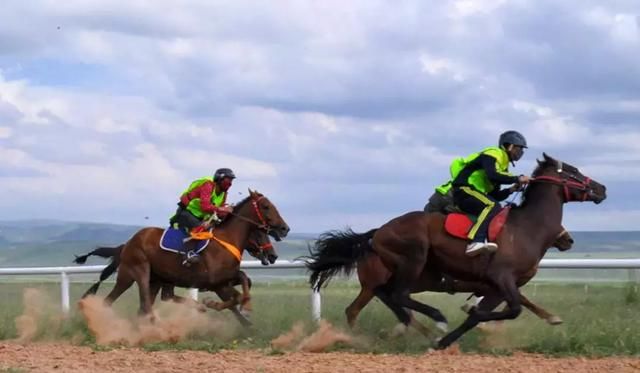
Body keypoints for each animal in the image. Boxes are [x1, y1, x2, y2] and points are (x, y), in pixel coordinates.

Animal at [84, 189, 288, 316]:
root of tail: (127, 243)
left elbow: (244, 282)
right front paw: (236, 306)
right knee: (121, 301)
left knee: (148, 303)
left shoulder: (225, 278)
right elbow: (241, 287)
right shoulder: (216, 280)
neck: (227, 239)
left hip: (156, 279)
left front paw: (218, 304)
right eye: (266, 206)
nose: (285, 228)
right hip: (134, 271)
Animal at [304, 153, 604, 348]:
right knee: (390, 298)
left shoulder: (499, 287)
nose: (602, 188)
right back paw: (428, 322)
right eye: (573, 172)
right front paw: (456, 323)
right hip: (412, 257)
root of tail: (376, 233)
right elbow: (512, 309)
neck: (527, 228)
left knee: (387, 301)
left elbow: (504, 309)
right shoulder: (501, 278)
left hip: (393, 277)